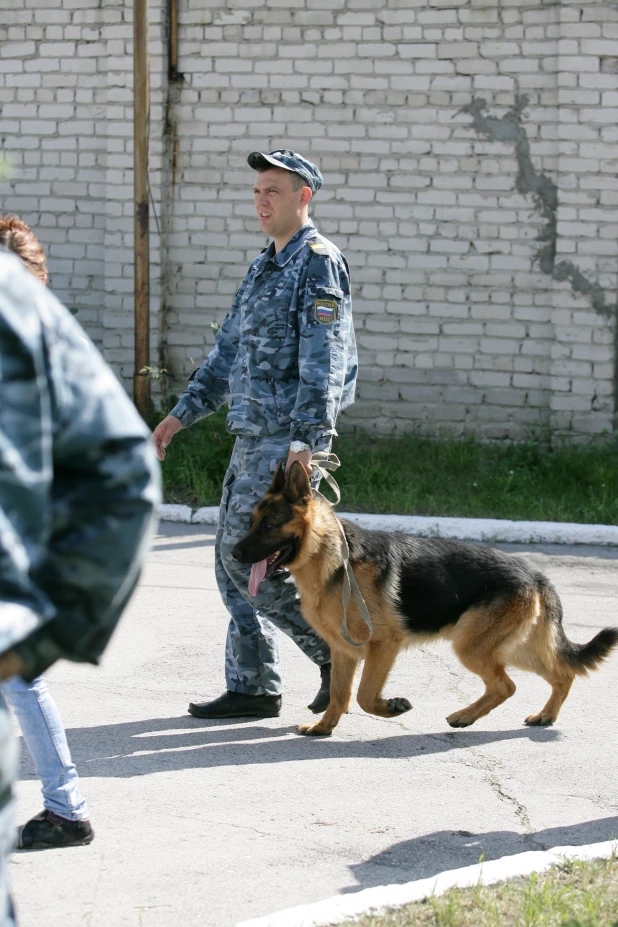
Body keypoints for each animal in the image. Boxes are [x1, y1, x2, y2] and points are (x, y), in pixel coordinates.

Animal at [231, 460, 616, 736]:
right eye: (250, 523)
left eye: (268, 526)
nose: (233, 554)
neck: (331, 558)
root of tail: (536, 575)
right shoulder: (344, 651)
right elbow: (340, 693)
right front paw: (325, 727)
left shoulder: (383, 645)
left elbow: (364, 695)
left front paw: (390, 707)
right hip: (509, 647)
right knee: (561, 675)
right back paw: (545, 715)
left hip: (471, 646)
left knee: (506, 685)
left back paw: (464, 716)